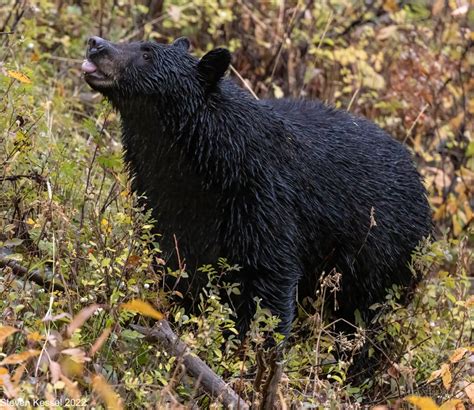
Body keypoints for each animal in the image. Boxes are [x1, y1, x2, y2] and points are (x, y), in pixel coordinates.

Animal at [82, 36, 434, 340]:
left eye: (147, 53)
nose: (96, 43)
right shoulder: (165, 201)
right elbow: (177, 264)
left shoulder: (262, 200)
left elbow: (267, 281)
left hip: (381, 258)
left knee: (363, 316)